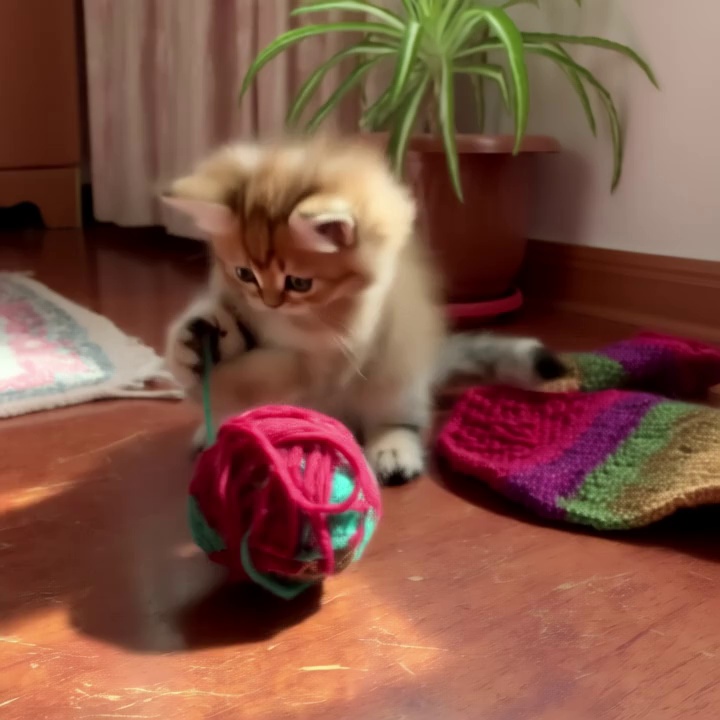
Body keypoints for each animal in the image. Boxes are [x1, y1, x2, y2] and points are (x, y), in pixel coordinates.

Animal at [162, 135, 566, 485]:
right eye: (244, 274)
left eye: (299, 283)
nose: (269, 301)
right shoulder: (233, 299)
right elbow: (214, 324)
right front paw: (191, 343)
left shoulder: (338, 353)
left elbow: (264, 374)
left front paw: (211, 386)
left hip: (398, 379)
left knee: (400, 420)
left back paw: (393, 449)